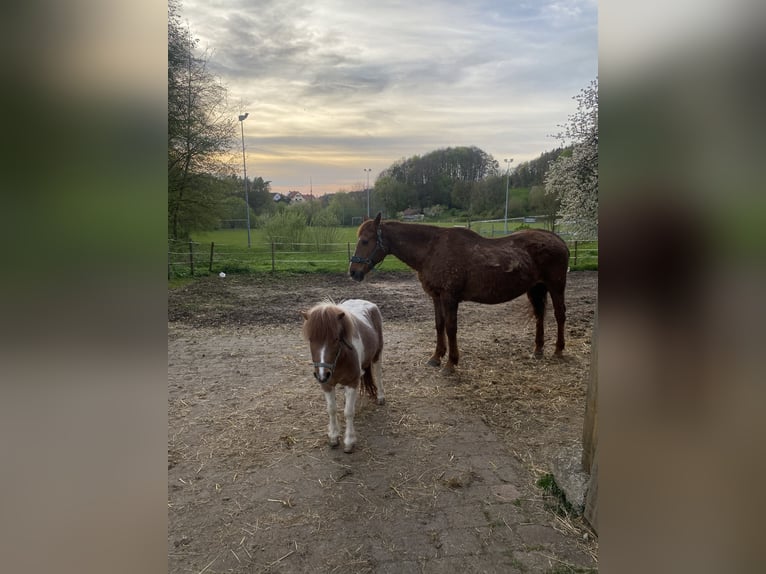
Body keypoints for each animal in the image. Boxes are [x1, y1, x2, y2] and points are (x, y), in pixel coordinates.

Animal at [300, 302, 384, 454]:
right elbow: (331, 409)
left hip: (377, 355)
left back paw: (381, 397)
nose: (322, 374)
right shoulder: (327, 385)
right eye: (311, 339)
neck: (341, 357)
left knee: (378, 374)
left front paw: (349, 441)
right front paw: (333, 437)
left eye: (336, 338)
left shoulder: (352, 383)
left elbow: (348, 412)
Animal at [350, 214, 568, 376]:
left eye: (365, 241)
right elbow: (439, 325)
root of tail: (558, 240)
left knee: (560, 315)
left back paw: (558, 350)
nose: (353, 272)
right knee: (540, 315)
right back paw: (538, 350)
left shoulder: (450, 297)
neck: (432, 249)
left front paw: (451, 363)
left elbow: (450, 328)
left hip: (556, 287)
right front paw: (436, 357)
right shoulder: (436, 297)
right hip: (536, 288)